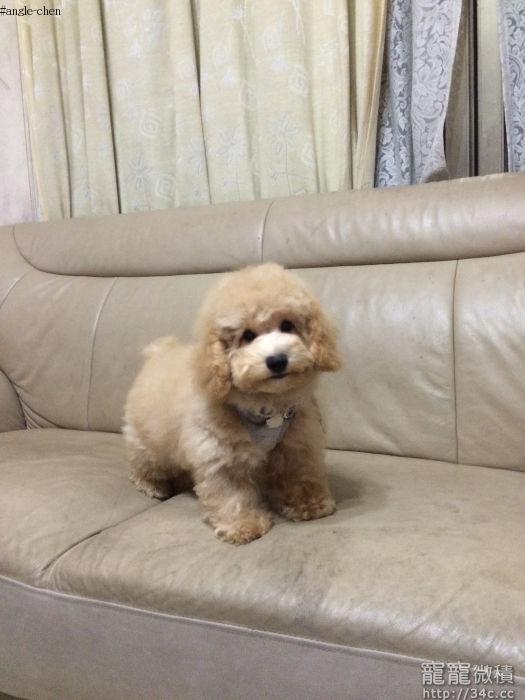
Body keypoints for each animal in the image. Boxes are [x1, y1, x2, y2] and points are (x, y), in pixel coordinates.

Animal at [123, 262, 341, 544]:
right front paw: (243, 524)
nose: (277, 360)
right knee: (144, 463)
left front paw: (309, 504)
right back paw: (152, 485)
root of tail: (158, 352)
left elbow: (299, 473)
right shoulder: (219, 451)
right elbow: (231, 491)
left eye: (287, 325)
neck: (267, 406)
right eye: (247, 335)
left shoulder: (297, 441)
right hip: (149, 442)